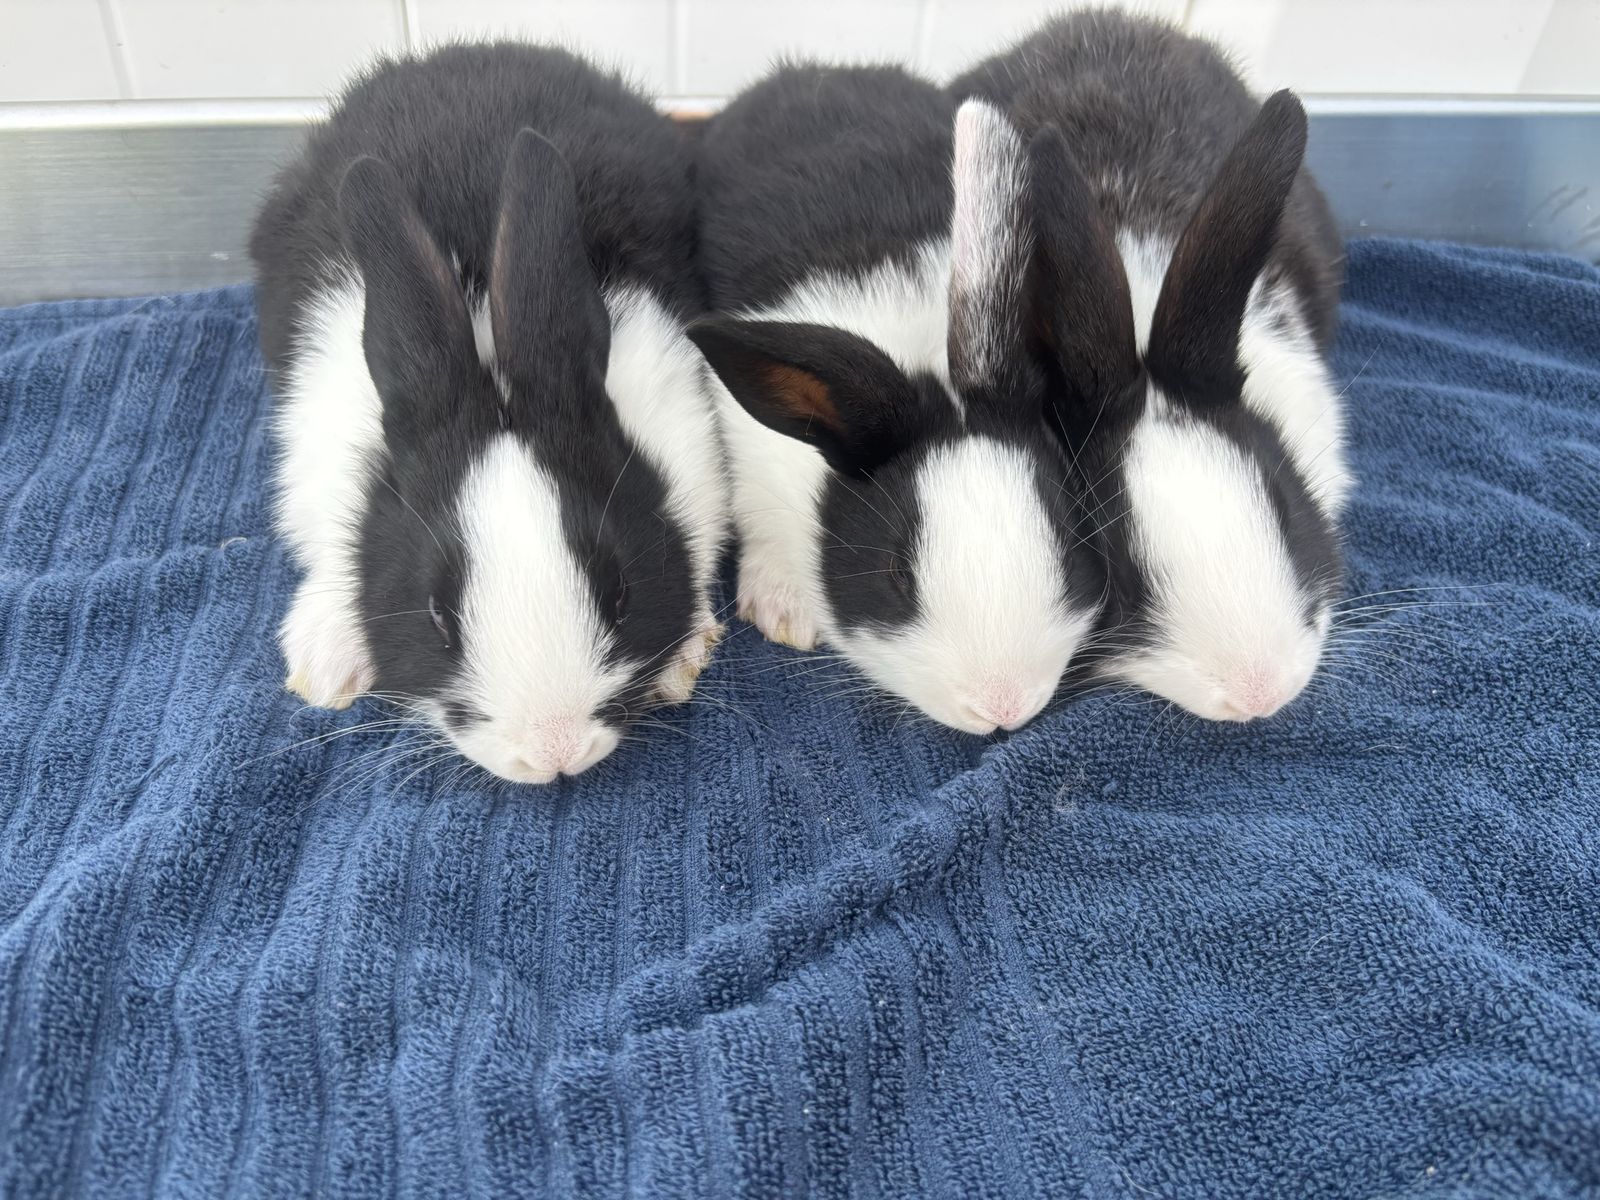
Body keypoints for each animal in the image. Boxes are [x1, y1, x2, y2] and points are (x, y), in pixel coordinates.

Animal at [250, 44, 729, 784]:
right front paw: (326, 666)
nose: (553, 751)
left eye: (619, 590)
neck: (489, 355)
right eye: (437, 615)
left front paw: (686, 655)